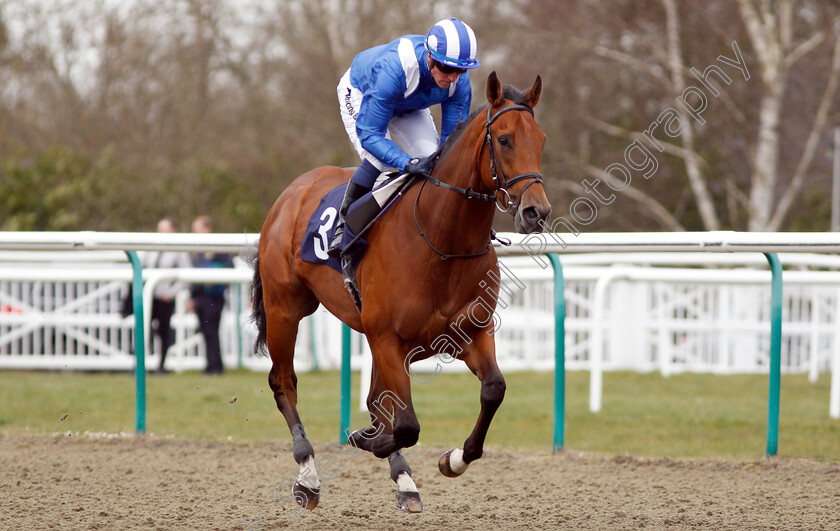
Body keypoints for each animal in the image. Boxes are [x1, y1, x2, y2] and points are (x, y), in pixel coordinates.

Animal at [249, 71, 552, 516]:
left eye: (541, 139)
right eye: (505, 139)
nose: (536, 212)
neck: (441, 241)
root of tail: (292, 191)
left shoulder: (469, 333)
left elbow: (492, 390)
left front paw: (452, 460)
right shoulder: (388, 337)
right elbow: (406, 423)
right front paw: (369, 441)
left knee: (377, 399)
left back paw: (402, 480)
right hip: (285, 308)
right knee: (283, 382)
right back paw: (308, 475)